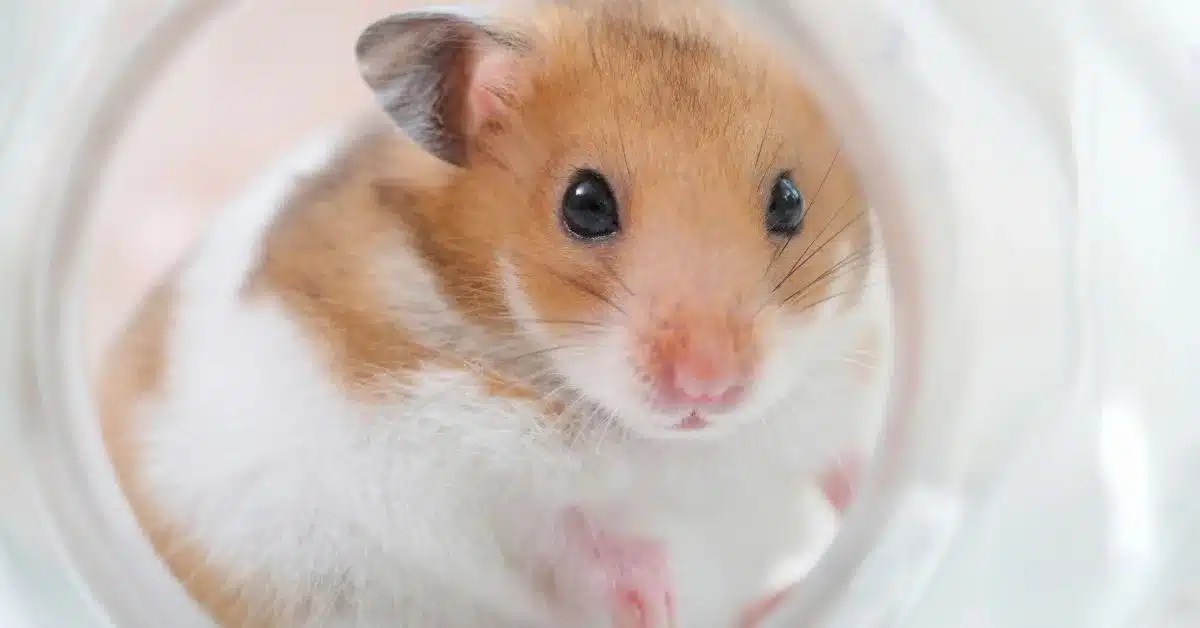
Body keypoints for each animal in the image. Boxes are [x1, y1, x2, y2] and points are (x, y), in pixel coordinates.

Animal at [98, 1, 887, 627]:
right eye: (585, 203)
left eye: (789, 199)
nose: (707, 388)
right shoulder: (444, 471)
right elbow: (572, 533)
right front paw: (656, 607)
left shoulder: (832, 387)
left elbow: (841, 460)